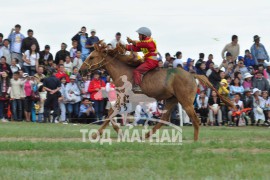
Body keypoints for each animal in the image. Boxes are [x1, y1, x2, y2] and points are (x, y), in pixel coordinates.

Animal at [80, 41, 234, 141]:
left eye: (92, 57)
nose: (81, 70)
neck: (123, 72)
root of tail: (192, 75)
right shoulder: (127, 101)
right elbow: (112, 114)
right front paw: (116, 132)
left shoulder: (123, 98)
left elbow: (111, 113)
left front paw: (97, 134)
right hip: (172, 100)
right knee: (163, 119)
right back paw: (145, 136)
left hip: (185, 101)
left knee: (195, 119)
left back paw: (195, 141)